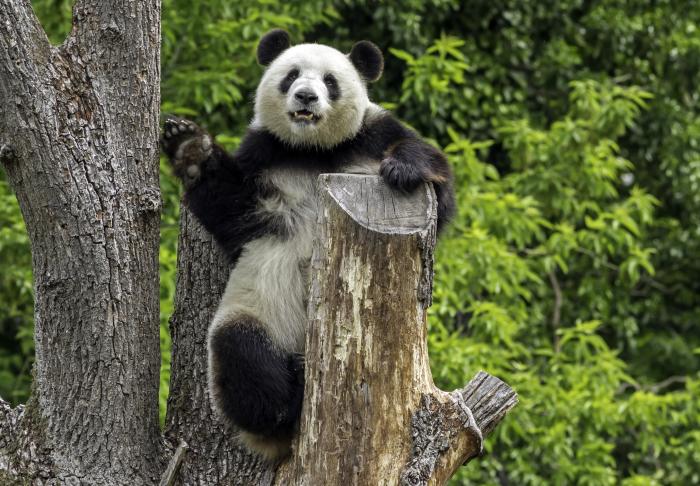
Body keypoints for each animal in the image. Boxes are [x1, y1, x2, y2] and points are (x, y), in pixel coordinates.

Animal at [161, 28, 456, 462]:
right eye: (291, 75)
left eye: (330, 81)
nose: (306, 97)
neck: (312, 151)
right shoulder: (262, 156)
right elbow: (231, 211)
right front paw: (190, 148)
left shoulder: (372, 136)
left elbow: (438, 188)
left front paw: (404, 168)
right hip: (258, 313)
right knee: (243, 356)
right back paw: (289, 400)